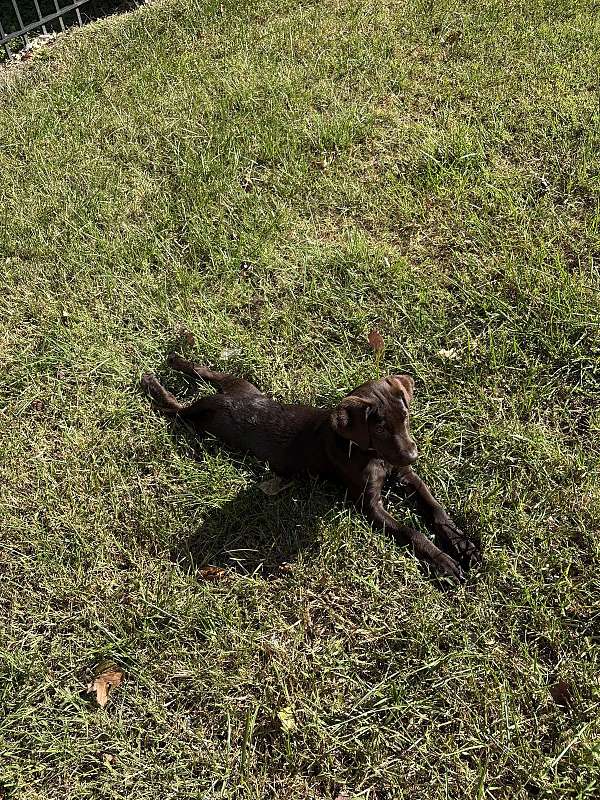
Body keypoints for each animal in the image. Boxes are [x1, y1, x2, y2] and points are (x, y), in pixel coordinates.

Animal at [143, 356, 480, 580]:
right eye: (380, 429)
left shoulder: (405, 476)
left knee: (202, 371)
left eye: (405, 418)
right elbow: (412, 531)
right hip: (197, 419)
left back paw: (174, 361)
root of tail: (223, 400)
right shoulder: (367, 504)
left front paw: (461, 542)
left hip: (237, 384)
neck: (368, 452)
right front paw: (442, 560)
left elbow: (433, 507)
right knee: (175, 407)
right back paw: (154, 383)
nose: (412, 455)